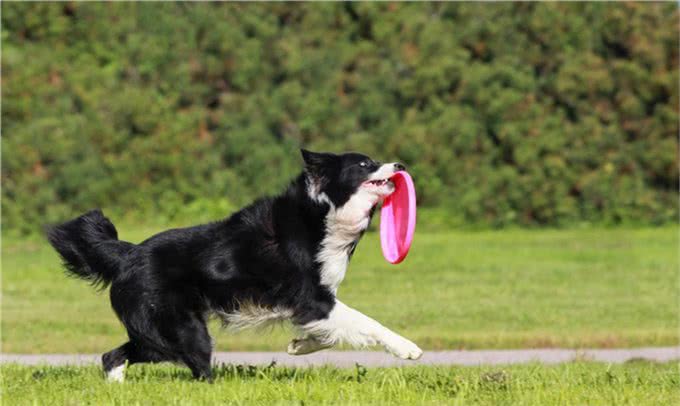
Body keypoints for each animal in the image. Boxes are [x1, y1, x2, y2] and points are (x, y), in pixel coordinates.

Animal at [47, 149, 422, 380]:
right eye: (365, 164)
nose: (401, 166)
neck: (323, 213)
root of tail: (127, 254)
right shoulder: (312, 297)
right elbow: (368, 323)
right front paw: (408, 349)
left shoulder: (309, 304)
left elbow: (331, 332)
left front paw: (299, 345)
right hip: (182, 330)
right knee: (195, 369)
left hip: (158, 334)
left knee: (113, 355)